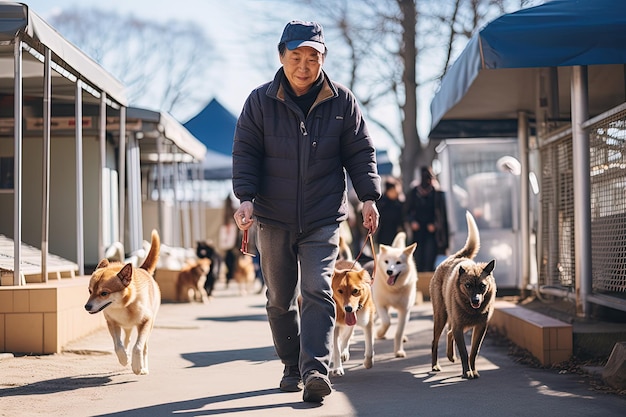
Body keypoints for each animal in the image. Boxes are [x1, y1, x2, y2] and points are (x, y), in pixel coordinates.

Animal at [83, 229, 161, 376]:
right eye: (90, 291)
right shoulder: (112, 324)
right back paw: (127, 354)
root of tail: (144, 269)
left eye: (104, 293)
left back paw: (144, 368)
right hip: (126, 327)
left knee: (144, 347)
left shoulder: (145, 322)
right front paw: (124, 359)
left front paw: (137, 366)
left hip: (149, 325)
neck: (124, 305)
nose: (87, 306)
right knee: (126, 340)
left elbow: (138, 346)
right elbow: (118, 346)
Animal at [426, 213, 494, 378]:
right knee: (435, 341)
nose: (476, 300)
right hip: (441, 316)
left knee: (449, 333)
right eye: (468, 285)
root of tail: (456, 257)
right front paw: (466, 372)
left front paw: (473, 370)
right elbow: (464, 351)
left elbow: (474, 352)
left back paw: (450, 356)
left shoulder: (480, 327)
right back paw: (435, 365)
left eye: (483, 286)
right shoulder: (458, 326)